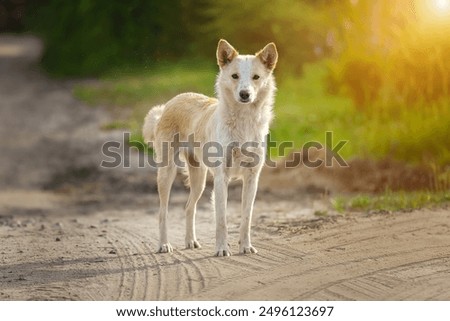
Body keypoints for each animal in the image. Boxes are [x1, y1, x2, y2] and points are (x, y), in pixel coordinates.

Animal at [143, 39, 278, 255]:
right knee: (163, 212)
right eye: (234, 76)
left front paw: (246, 246)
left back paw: (191, 241)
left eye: (256, 77)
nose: (245, 94)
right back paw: (164, 245)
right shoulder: (222, 177)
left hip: (199, 178)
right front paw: (222, 249)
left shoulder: (252, 178)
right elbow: (221, 219)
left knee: (189, 207)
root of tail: (169, 104)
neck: (244, 121)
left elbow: (246, 218)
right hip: (167, 173)